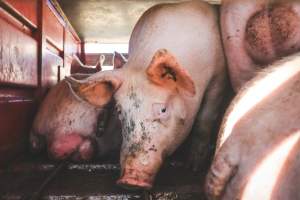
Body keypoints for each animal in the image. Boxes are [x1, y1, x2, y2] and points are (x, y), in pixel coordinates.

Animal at [67, 0, 229, 189]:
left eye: (163, 110)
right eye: (120, 111)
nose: (130, 180)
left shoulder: (219, 77)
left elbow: (205, 121)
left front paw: (194, 167)